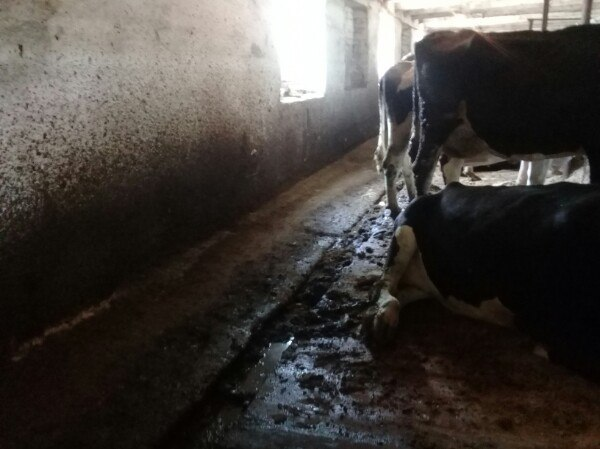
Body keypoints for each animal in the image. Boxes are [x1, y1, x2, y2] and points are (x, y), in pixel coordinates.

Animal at [368, 181, 600, 378]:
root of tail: (444, 190)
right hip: (405, 229)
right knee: (384, 284)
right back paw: (385, 320)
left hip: (431, 282)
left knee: (400, 292)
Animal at [378, 60, 556, 217]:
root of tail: (395, 69)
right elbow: (535, 178)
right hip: (403, 128)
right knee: (394, 164)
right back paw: (395, 207)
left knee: (404, 163)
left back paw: (410, 196)